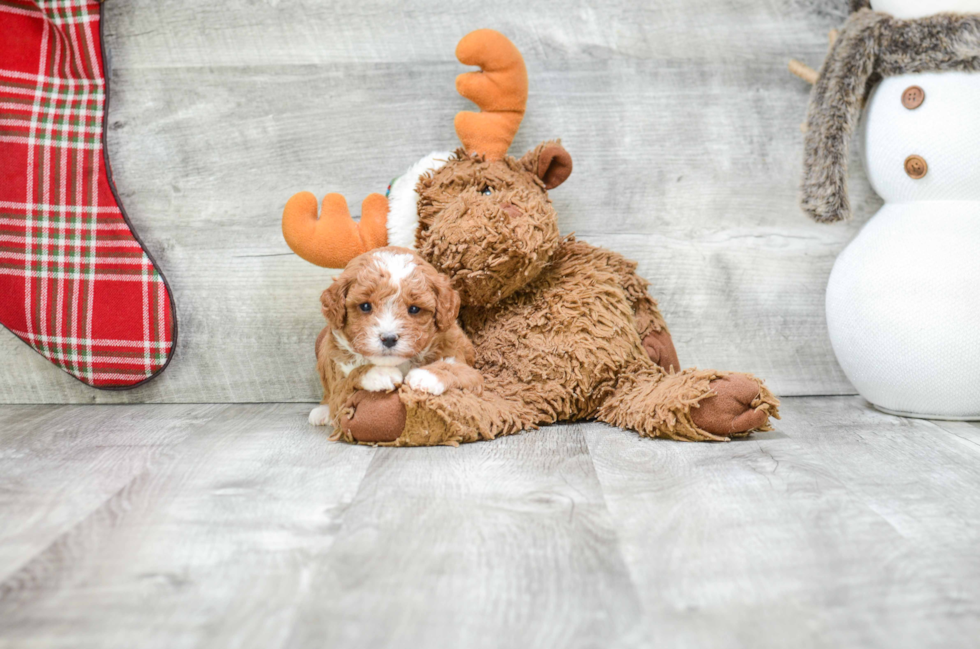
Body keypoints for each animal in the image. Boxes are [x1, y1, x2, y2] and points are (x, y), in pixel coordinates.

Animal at [310, 246, 482, 428]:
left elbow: (455, 368)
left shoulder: (471, 373)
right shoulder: (338, 386)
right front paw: (380, 373)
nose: (389, 338)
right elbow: (350, 378)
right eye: (365, 306)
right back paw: (321, 412)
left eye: (414, 309)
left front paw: (426, 376)